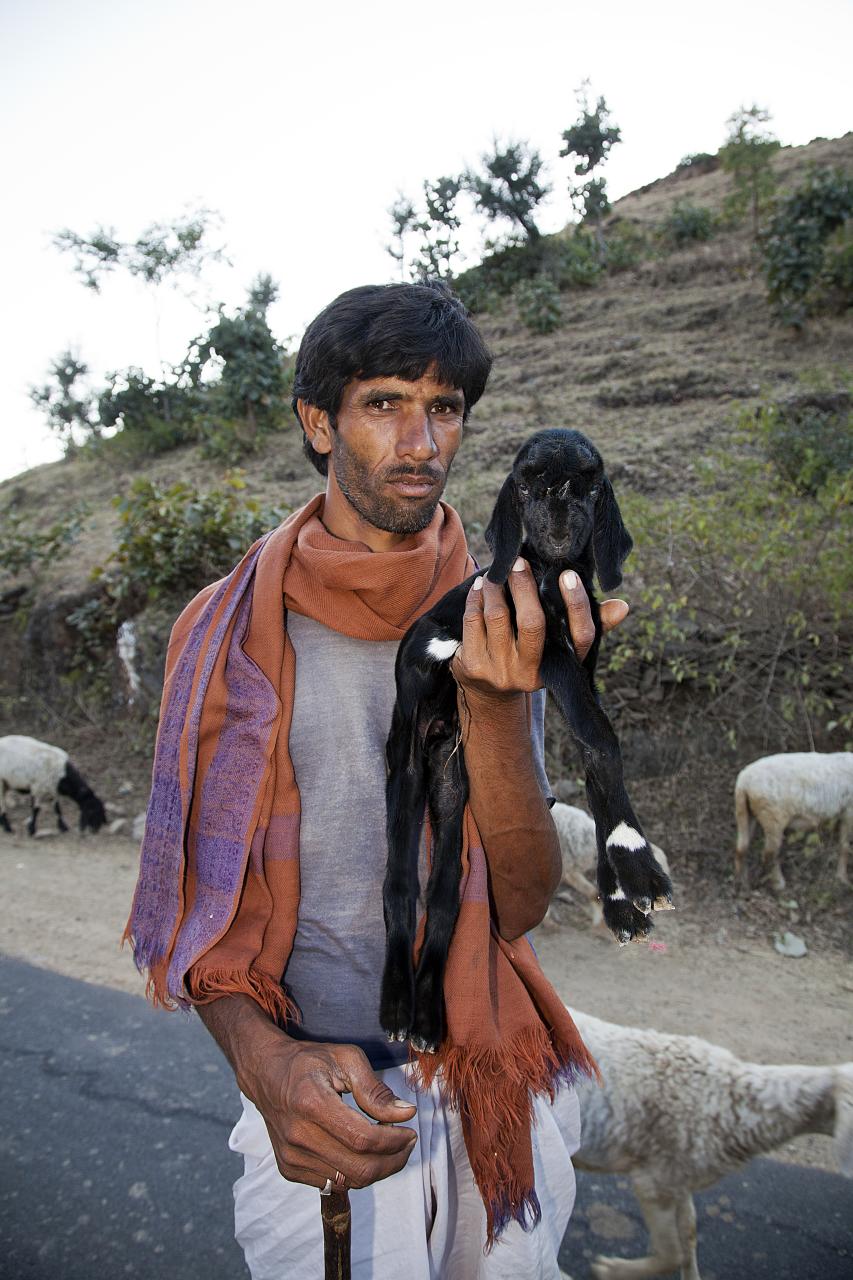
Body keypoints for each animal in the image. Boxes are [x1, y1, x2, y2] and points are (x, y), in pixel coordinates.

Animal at [732, 747, 850, 890]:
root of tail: (743, 783)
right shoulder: (849, 810)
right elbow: (845, 846)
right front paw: (843, 879)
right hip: (772, 816)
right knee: (769, 853)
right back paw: (778, 884)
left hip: (745, 812)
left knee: (741, 847)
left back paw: (742, 882)